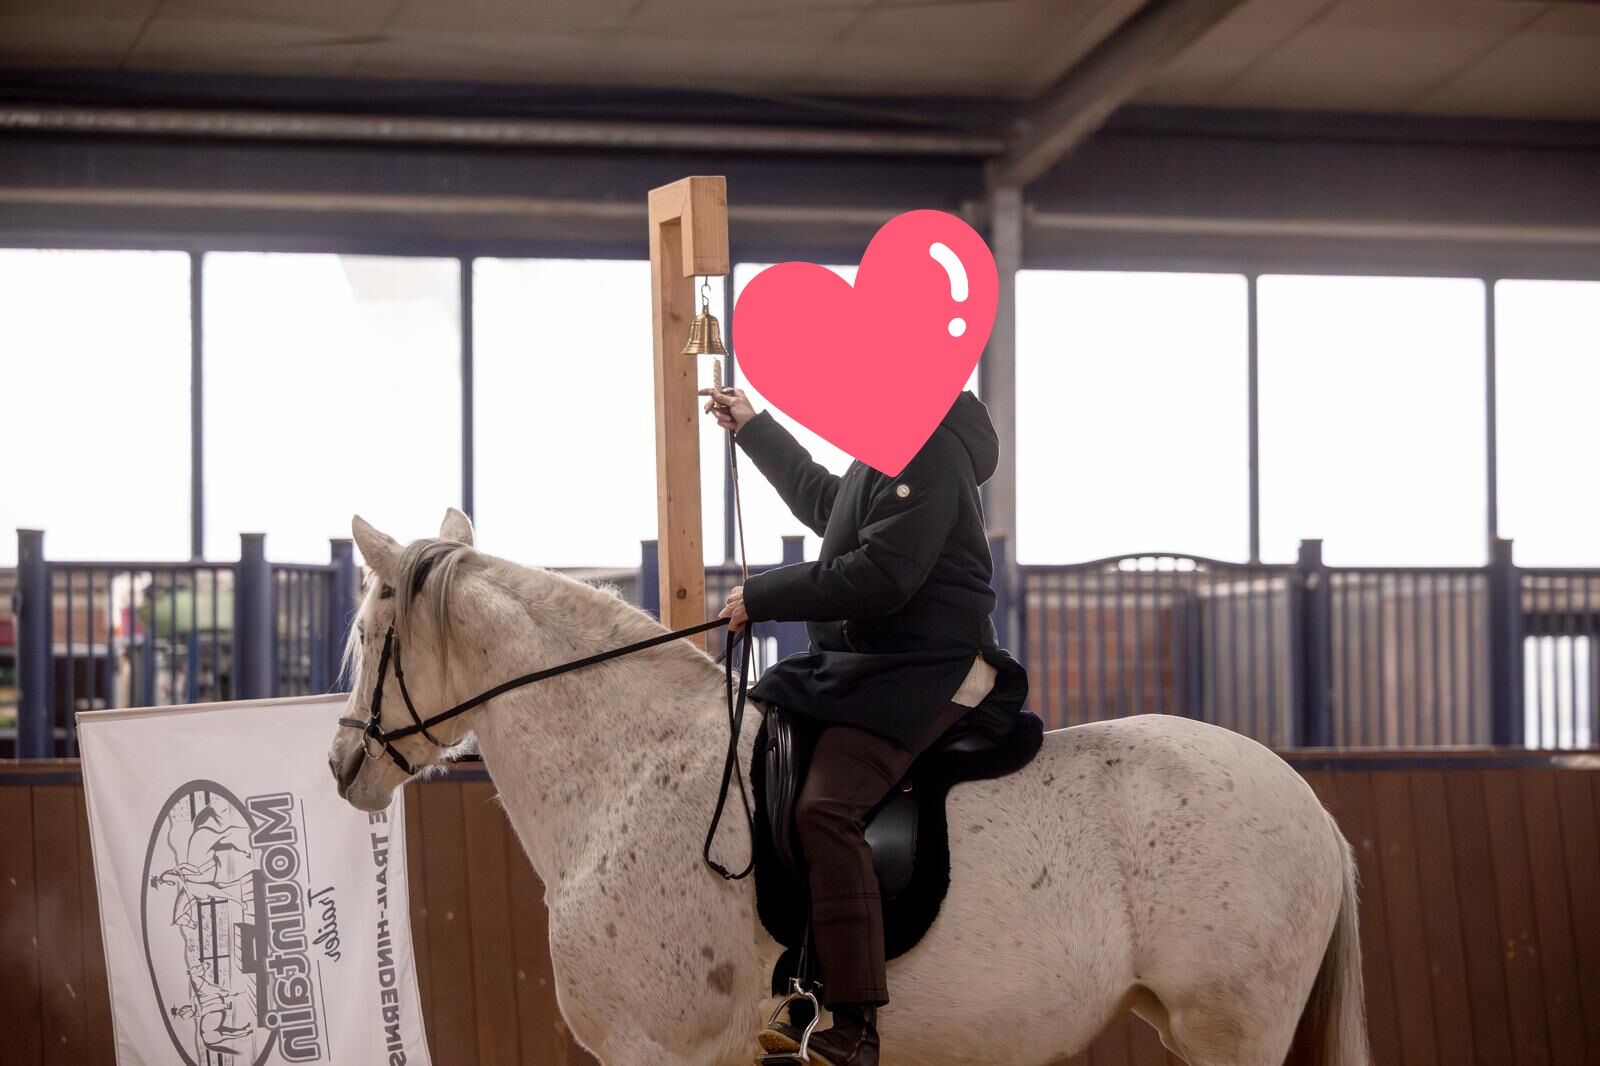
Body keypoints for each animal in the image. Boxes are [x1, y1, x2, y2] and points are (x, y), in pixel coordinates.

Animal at [327, 509, 1369, 1066]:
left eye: (371, 637)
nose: (343, 766)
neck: (627, 768)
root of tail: (1315, 811)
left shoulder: (662, 1046)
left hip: (1231, 1034)